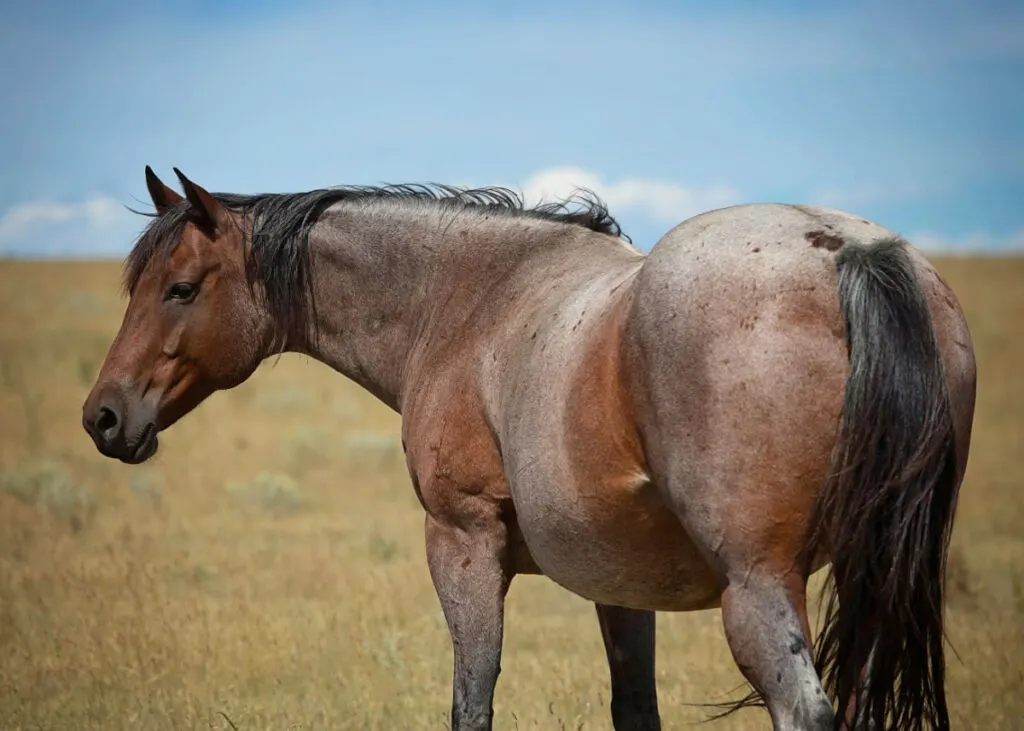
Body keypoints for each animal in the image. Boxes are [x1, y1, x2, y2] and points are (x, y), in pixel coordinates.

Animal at [79, 166, 974, 728]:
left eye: (181, 288)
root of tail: (854, 253)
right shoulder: (623, 587)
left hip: (757, 586)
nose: (103, 416)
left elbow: (470, 701)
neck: (471, 301)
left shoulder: (463, 543)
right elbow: (633, 708)